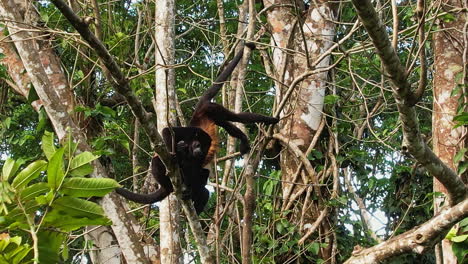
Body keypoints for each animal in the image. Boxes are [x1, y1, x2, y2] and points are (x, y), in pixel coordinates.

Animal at [115, 41, 280, 214]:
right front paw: (175, 154)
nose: (199, 150)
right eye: (198, 145)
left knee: (230, 125)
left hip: (212, 113)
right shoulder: (191, 134)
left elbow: (199, 173)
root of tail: (198, 110)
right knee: (233, 118)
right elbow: (168, 133)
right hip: (212, 109)